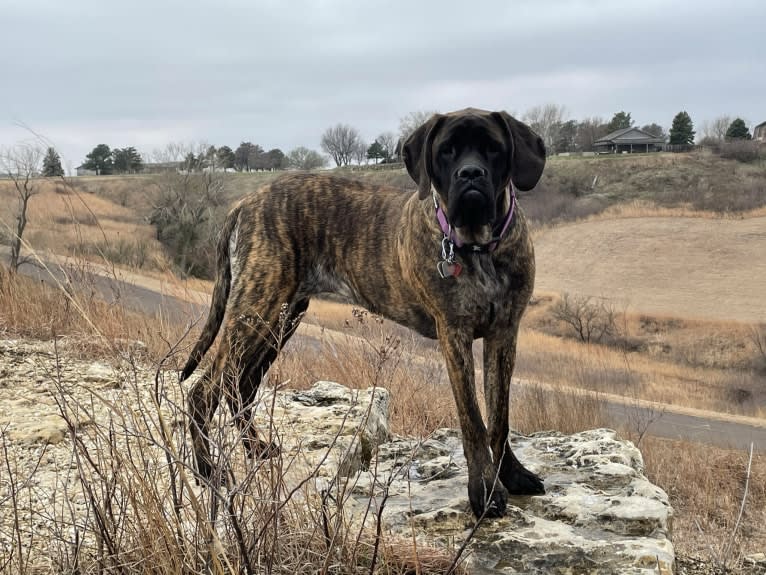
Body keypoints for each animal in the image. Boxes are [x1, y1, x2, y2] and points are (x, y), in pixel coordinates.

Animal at [183, 108, 548, 516]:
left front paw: (512, 475)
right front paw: (484, 490)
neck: (478, 247)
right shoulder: (455, 335)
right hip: (256, 311)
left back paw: (256, 449)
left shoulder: (504, 333)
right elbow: (473, 419)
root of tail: (246, 201)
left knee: (239, 386)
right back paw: (207, 471)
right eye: (447, 151)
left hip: (279, 318)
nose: (470, 174)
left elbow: (499, 418)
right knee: (204, 392)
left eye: (493, 149)